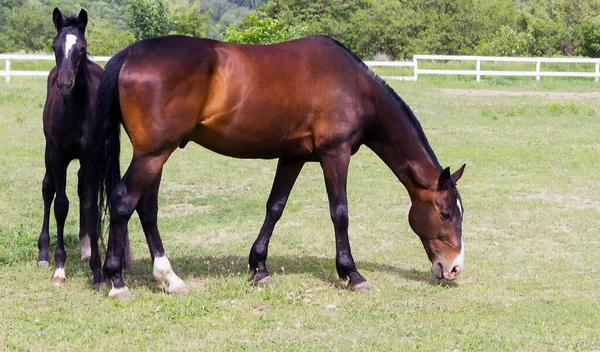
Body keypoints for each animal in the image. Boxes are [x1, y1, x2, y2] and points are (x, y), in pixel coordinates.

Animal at [37, 8, 108, 288]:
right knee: (48, 189)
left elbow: (89, 205)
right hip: (48, 153)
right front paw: (59, 267)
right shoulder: (58, 156)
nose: (65, 84)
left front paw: (97, 270)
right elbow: (60, 204)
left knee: (82, 188)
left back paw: (87, 246)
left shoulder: (90, 158)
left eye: (82, 47)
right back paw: (43, 254)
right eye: (54, 46)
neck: (75, 113)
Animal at [91, 36, 466, 300]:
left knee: (146, 208)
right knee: (124, 201)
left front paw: (259, 267)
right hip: (152, 154)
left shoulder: (292, 157)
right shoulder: (335, 155)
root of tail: (130, 55)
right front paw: (352, 274)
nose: (453, 268)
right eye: (446, 213)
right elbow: (340, 213)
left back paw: (169, 278)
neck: (354, 86)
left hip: (155, 155)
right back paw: (117, 281)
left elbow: (275, 207)